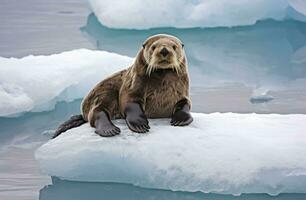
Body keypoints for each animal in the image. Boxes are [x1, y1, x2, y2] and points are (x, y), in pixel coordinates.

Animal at [52, 34, 191, 138]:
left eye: (174, 46)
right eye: (153, 46)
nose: (164, 50)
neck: (162, 82)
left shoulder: (182, 93)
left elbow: (185, 105)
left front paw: (180, 120)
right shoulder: (132, 86)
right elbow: (130, 103)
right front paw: (140, 125)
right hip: (103, 93)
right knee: (97, 112)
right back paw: (110, 130)